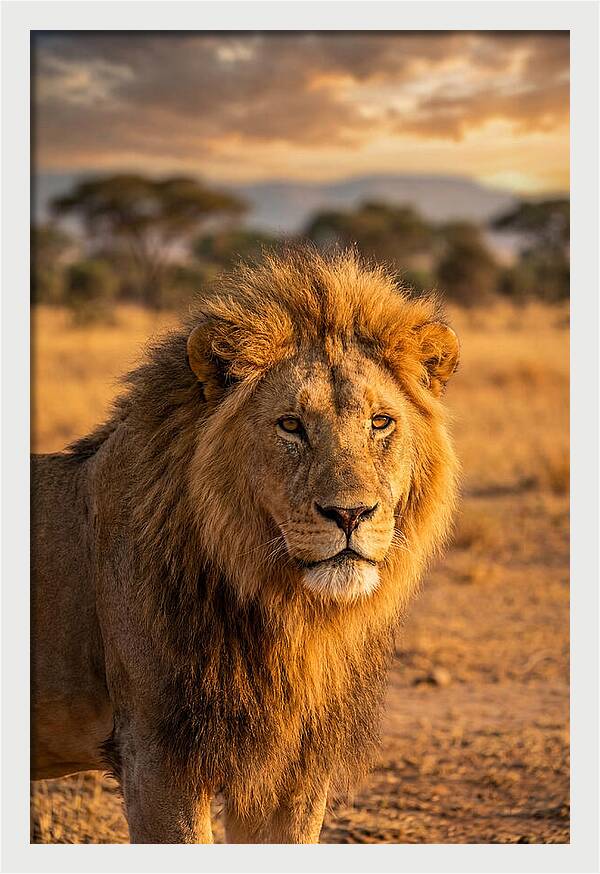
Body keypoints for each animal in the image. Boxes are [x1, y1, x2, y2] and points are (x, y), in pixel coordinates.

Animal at [31, 246, 460, 843]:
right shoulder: (157, 757)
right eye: (291, 425)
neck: (290, 616)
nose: (350, 514)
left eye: (381, 422)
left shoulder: (294, 770)